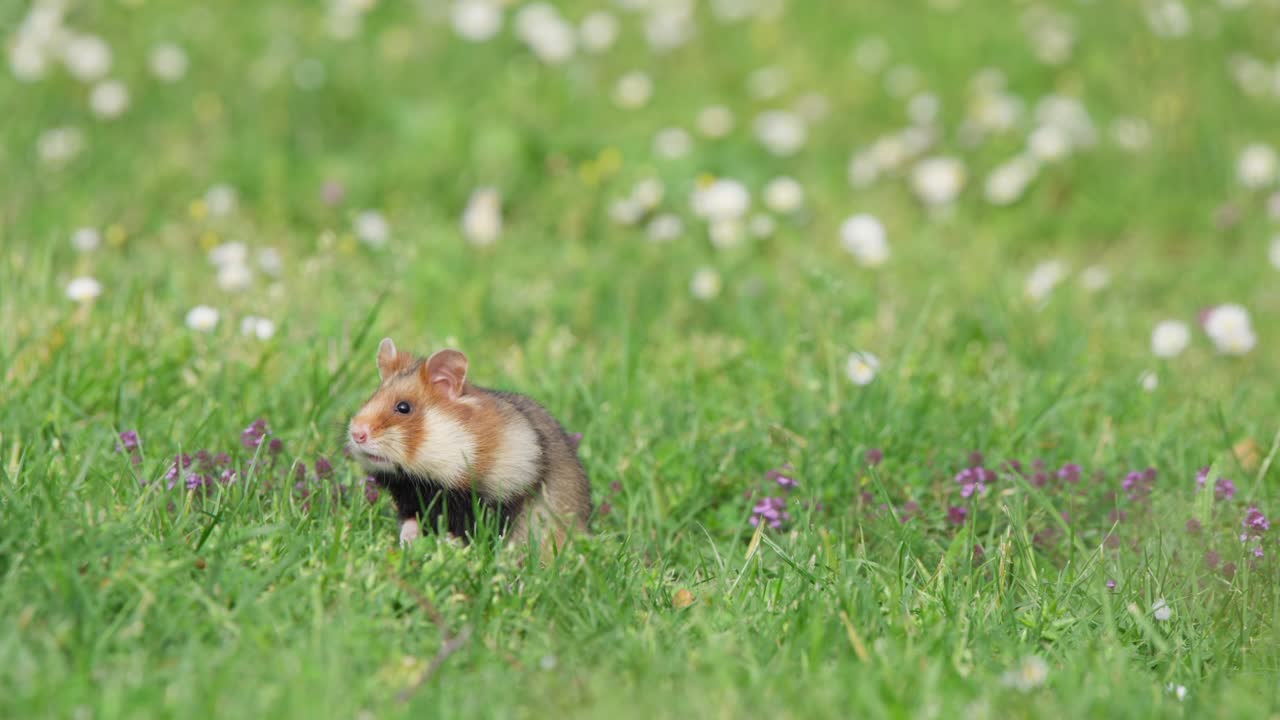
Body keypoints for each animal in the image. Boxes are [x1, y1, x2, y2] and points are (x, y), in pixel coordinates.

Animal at [348, 338, 592, 551]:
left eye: (403, 407)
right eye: (371, 398)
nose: (356, 434)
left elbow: (467, 530)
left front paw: (444, 543)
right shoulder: (412, 498)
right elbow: (411, 522)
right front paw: (407, 542)